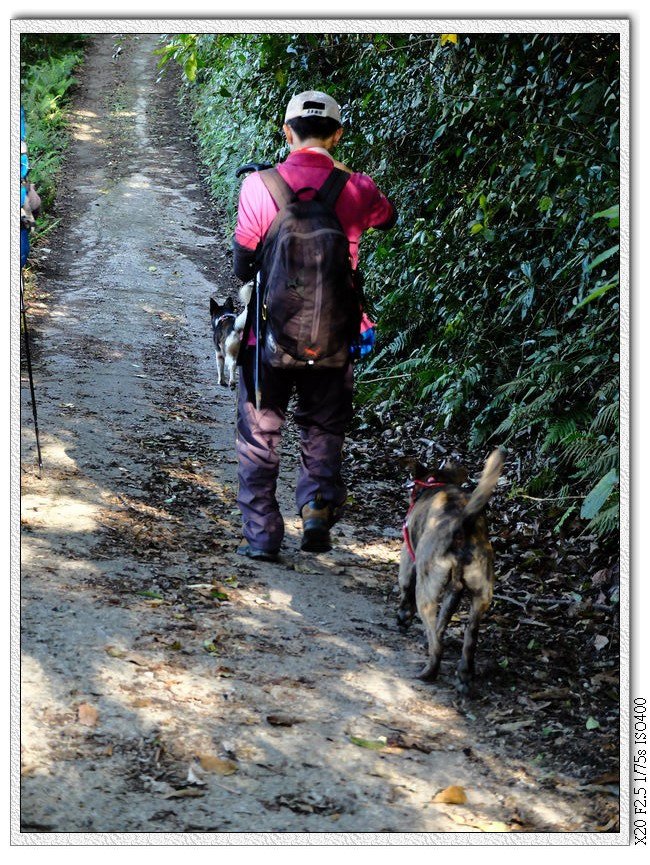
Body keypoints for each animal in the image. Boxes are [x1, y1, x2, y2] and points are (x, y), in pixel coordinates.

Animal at [398, 448, 504, 692]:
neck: (436, 482)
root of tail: (462, 526)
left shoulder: (408, 560)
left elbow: (406, 593)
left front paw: (402, 617)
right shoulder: (454, 593)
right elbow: (442, 623)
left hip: (425, 594)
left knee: (436, 644)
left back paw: (429, 671)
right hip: (481, 597)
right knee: (468, 639)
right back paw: (464, 675)